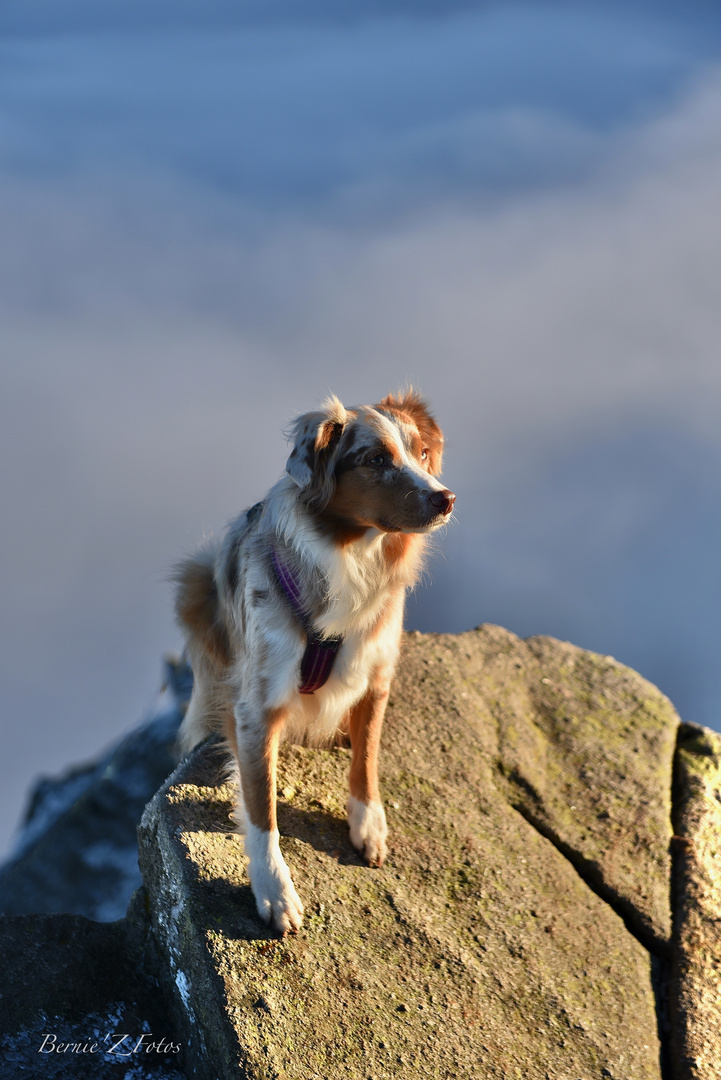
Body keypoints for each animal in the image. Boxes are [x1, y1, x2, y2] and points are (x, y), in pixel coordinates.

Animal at [173, 393, 453, 933]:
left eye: (423, 453)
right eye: (376, 460)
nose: (445, 498)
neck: (353, 557)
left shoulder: (377, 672)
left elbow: (367, 757)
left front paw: (369, 824)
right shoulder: (258, 706)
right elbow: (261, 808)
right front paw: (274, 891)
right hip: (194, 584)